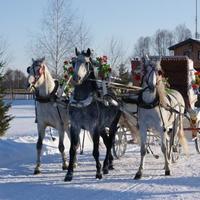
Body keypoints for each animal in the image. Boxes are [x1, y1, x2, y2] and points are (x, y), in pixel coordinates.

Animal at [64, 48, 120, 181]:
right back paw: (108, 164)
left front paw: (98, 172)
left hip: (112, 126)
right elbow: (72, 150)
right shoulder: (75, 126)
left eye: (86, 62)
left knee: (110, 143)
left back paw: (105, 166)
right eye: (73, 62)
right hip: (102, 128)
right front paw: (69, 173)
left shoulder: (93, 128)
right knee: (107, 142)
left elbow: (95, 151)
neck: (81, 102)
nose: (76, 77)